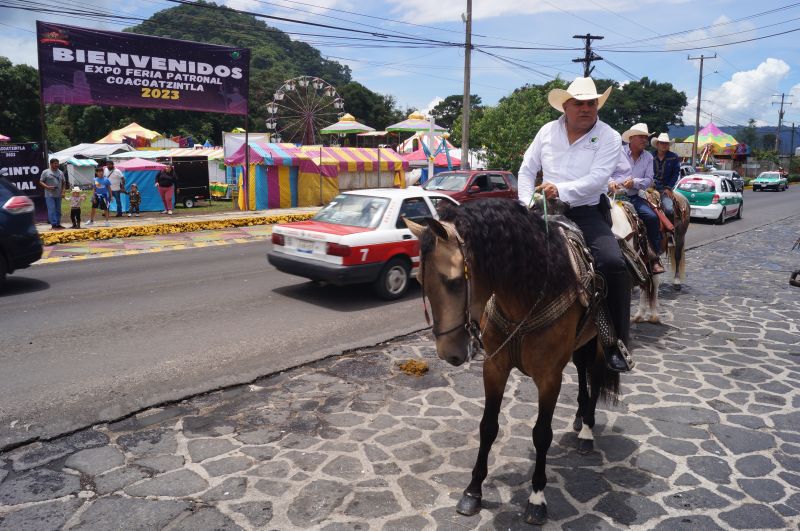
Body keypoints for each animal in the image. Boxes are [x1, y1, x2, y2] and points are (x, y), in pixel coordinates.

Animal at [406, 201, 624, 528]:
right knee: (581, 370)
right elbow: (487, 427)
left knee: (596, 377)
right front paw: (473, 491)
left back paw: (586, 431)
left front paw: (536, 498)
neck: (529, 293)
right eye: (420, 281)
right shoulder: (494, 368)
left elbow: (541, 434)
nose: (448, 353)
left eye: (454, 283)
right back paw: (578, 417)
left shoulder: (549, 378)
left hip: (599, 342)